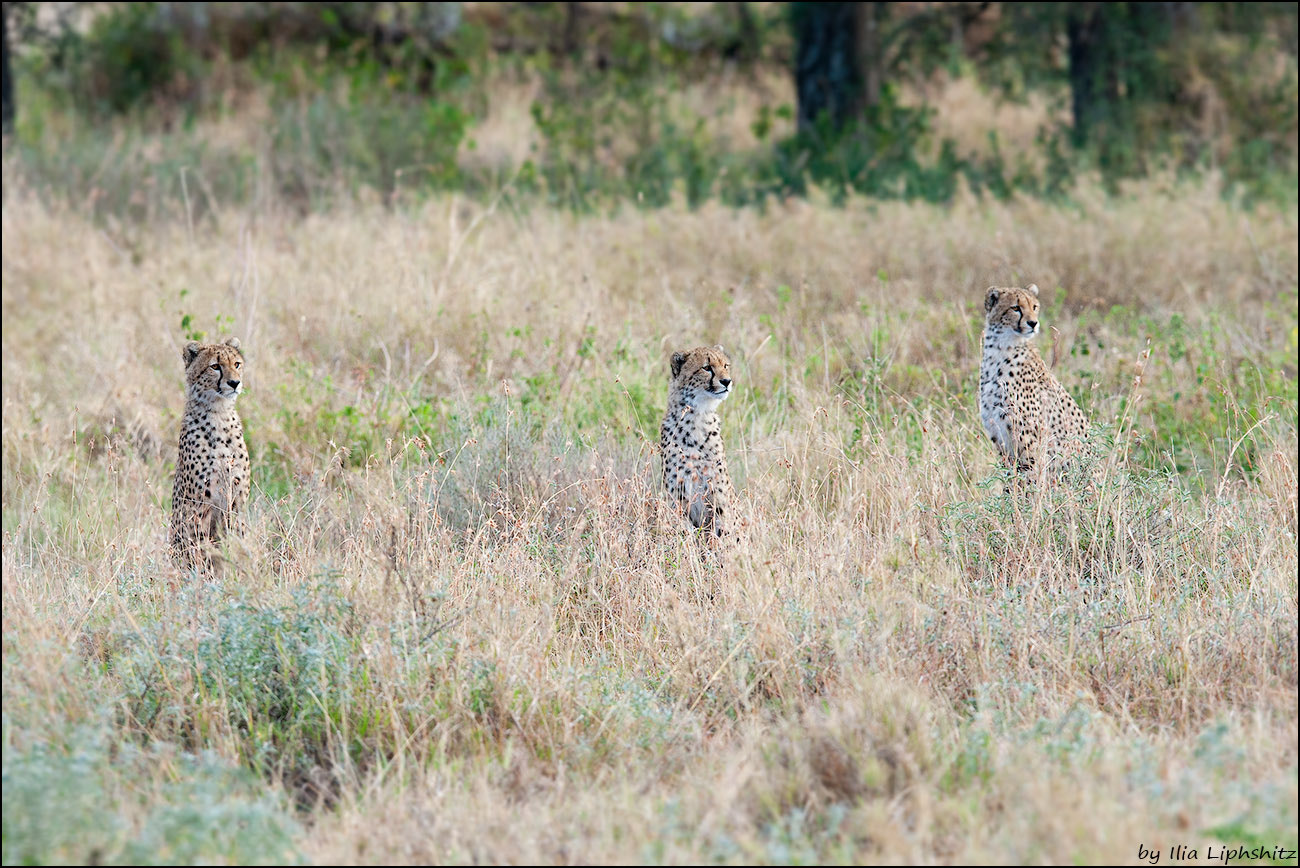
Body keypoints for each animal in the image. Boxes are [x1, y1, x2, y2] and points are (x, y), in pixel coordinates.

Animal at [171, 337, 249, 569]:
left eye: (237, 364)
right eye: (215, 366)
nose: (234, 383)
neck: (219, 412)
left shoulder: (237, 498)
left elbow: (237, 537)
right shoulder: (198, 504)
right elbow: (200, 545)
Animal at [665, 343, 738, 535]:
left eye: (725, 366)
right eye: (706, 368)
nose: (727, 381)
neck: (697, 417)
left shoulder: (719, 501)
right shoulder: (678, 500)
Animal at [977, 283, 1092, 475]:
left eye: (1034, 307)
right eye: (1015, 308)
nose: (1033, 323)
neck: (1000, 349)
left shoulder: (1029, 443)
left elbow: (1030, 477)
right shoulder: (1000, 439)